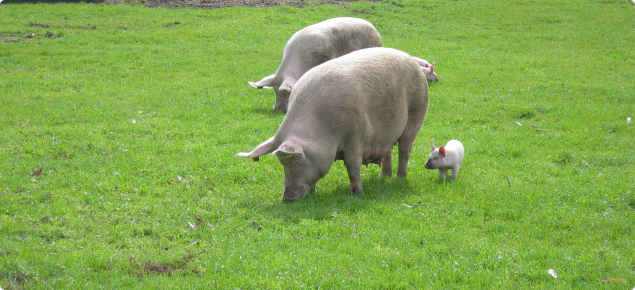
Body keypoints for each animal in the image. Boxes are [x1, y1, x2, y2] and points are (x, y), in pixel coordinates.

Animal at [240, 47, 432, 202]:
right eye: (282, 164)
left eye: (296, 161)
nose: (287, 199)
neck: (323, 127)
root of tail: (413, 61)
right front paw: (313, 193)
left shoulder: (356, 134)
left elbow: (353, 165)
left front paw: (357, 194)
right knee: (389, 151)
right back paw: (384, 177)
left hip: (417, 112)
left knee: (405, 150)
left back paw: (400, 179)